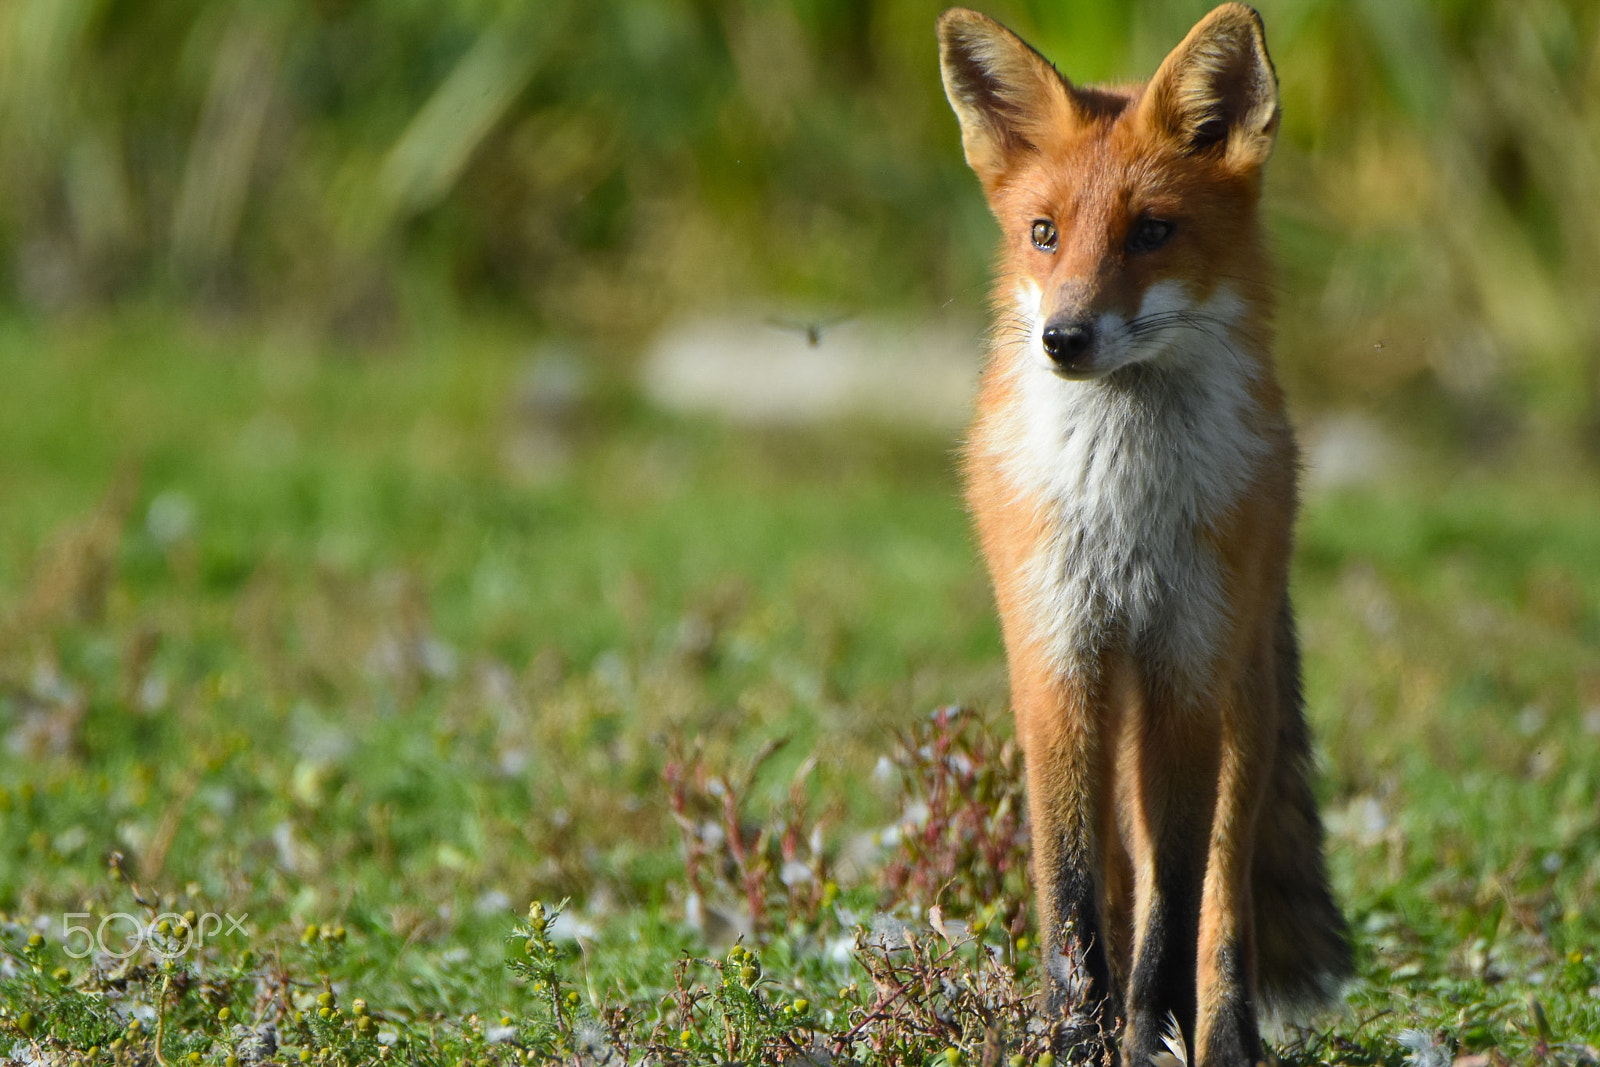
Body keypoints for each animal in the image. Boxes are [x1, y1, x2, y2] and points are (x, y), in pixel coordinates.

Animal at [934, 8, 1350, 1067]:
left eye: (1152, 232)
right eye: (1043, 234)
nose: (1065, 338)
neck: (1122, 506)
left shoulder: (1185, 676)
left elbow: (1179, 903)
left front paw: (1147, 1031)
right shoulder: (1055, 661)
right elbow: (1075, 895)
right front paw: (1070, 1034)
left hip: (1241, 703)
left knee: (1222, 896)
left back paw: (1224, 1035)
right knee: (1119, 878)